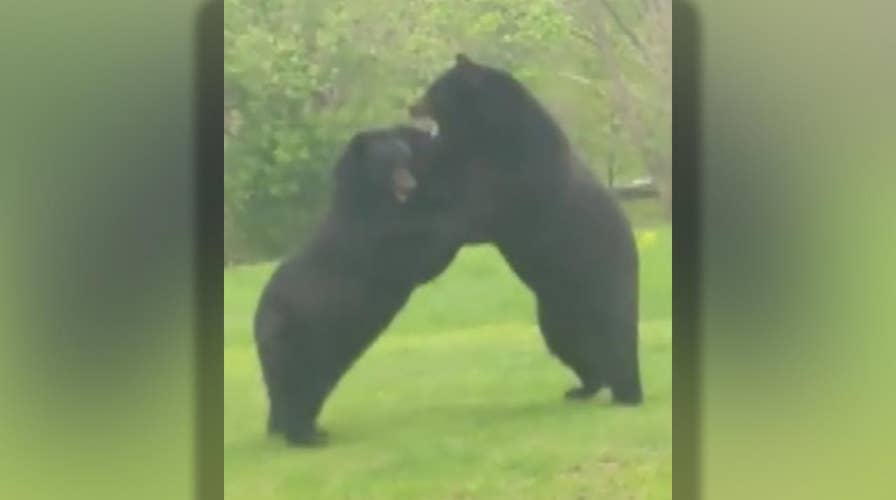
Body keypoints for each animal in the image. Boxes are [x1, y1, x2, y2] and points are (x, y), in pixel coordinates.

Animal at [254, 126, 469, 446]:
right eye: (390, 162)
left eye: (404, 158)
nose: (409, 184)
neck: (371, 200)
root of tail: (257, 321)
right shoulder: (373, 241)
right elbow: (422, 254)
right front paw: (461, 216)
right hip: (294, 338)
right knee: (294, 385)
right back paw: (304, 436)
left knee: (303, 389)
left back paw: (300, 429)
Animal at [410, 54, 643, 405]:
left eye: (435, 88)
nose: (411, 105)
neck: (490, 130)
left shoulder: (516, 178)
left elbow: (472, 212)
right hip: (554, 314)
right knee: (575, 350)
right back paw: (581, 388)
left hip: (602, 286)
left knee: (615, 341)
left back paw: (627, 393)